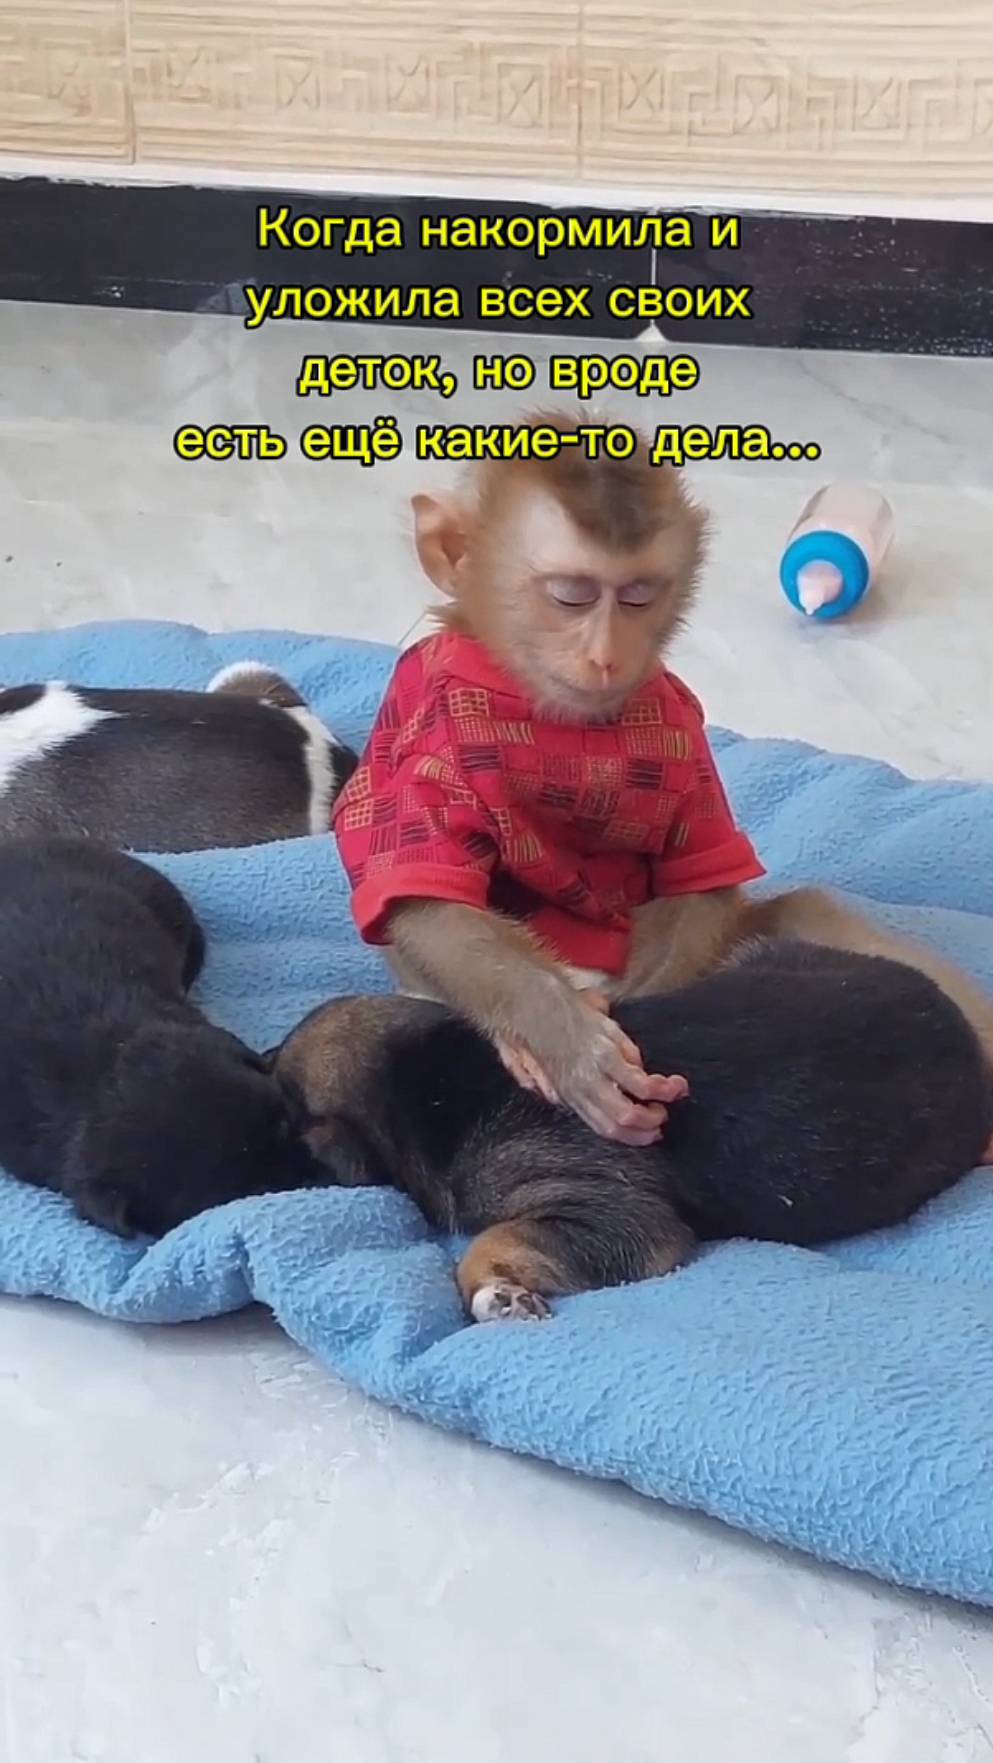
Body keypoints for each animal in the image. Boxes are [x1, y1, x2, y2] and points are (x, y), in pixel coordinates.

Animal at [332, 411, 993, 1156]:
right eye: (571, 596)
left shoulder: (682, 722)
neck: (550, 716)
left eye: (638, 596)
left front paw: (653, 1010)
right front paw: (563, 1040)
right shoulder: (425, 732)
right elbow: (426, 897)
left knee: (804, 911)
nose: (605, 655)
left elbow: (701, 880)